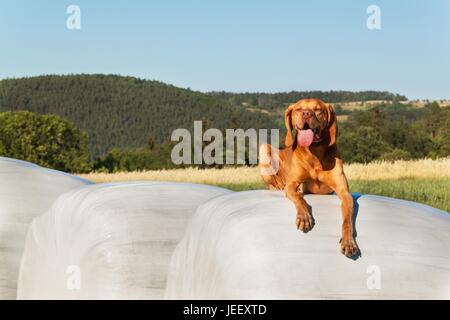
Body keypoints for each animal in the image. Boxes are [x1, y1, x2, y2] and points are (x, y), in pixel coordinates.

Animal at [258, 98, 356, 258]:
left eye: (318, 110)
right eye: (298, 109)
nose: (306, 113)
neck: (315, 152)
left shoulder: (344, 192)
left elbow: (347, 219)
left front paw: (348, 241)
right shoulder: (292, 184)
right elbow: (300, 199)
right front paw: (304, 217)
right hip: (264, 148)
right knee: (276, 184)